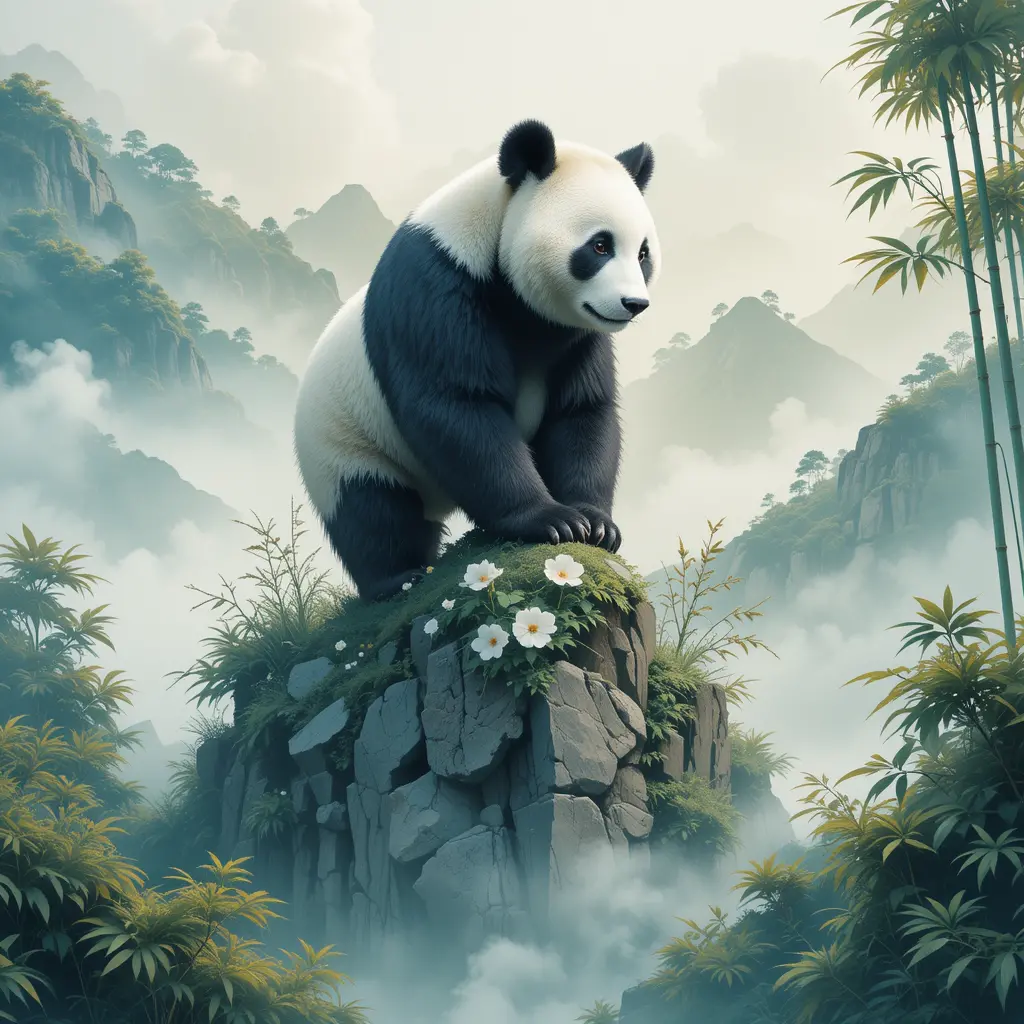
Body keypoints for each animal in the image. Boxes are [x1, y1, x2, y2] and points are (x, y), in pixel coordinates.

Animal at [294, 119, 660, 602]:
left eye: (643, 253)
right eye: (599, 246)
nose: (633, 304)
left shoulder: (576, 333)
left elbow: (581, 410)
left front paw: (595, 523)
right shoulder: (438, 286)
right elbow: (457, 407)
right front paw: (550, 520)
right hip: (345, 441)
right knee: (374, 511)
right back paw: (400, 577)